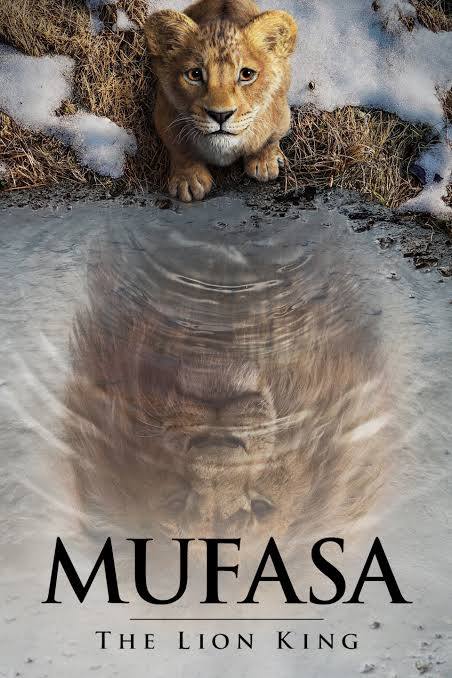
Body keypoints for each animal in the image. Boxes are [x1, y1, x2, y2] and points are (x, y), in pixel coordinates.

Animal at [144, 0, 298, 201]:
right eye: (195, 74)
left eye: (247, 74)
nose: (220, 115)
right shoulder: (164, 114)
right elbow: (179, 148)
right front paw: (189, 180)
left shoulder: (281, 113)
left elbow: (270, 139)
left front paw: (265, 162)